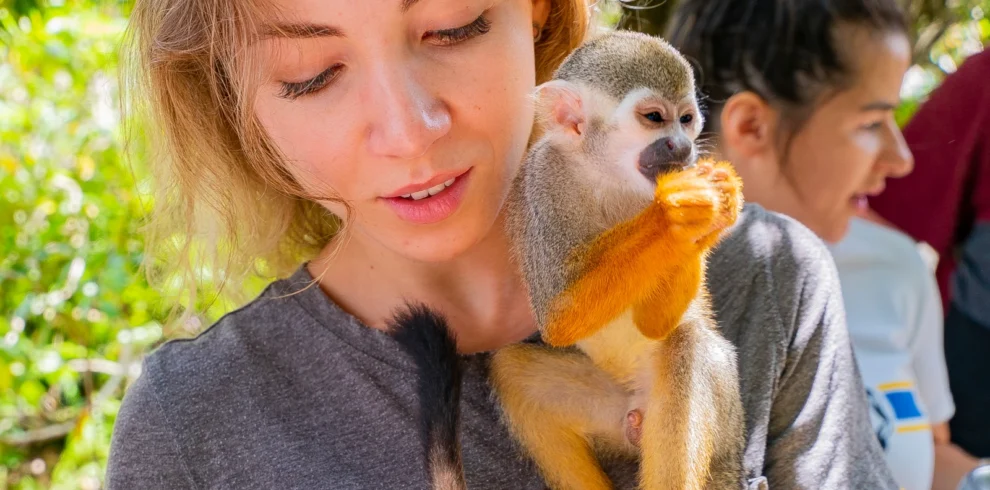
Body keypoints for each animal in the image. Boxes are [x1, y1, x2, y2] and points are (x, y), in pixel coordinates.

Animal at [387, 30, 746, 490]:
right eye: (654, 117)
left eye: (685, 119)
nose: (682, 146)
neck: (609, 176)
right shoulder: (543, 178)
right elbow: (562, 316)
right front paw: (678, 212)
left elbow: (657, 325)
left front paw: (714, 204)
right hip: (611, 409)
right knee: (513, 369)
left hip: (722, 414)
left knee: (686, 345)